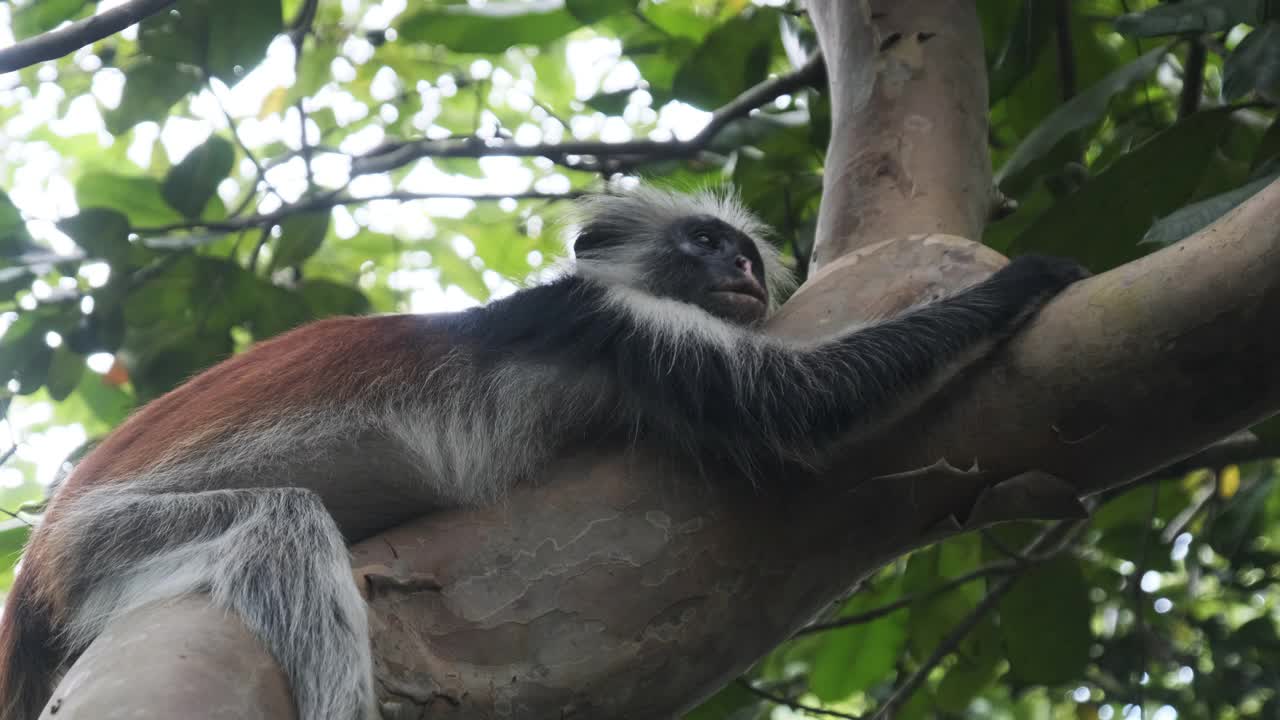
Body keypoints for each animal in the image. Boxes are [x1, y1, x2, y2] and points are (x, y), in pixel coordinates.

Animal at [0, 188, 1085, 712]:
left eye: (740, 252)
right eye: (704, 242)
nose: (739, 268)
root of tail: (35, 561)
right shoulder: (612, 319)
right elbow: (794, 406)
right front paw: (1028, 276)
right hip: (105, 542)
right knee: (281, 525)